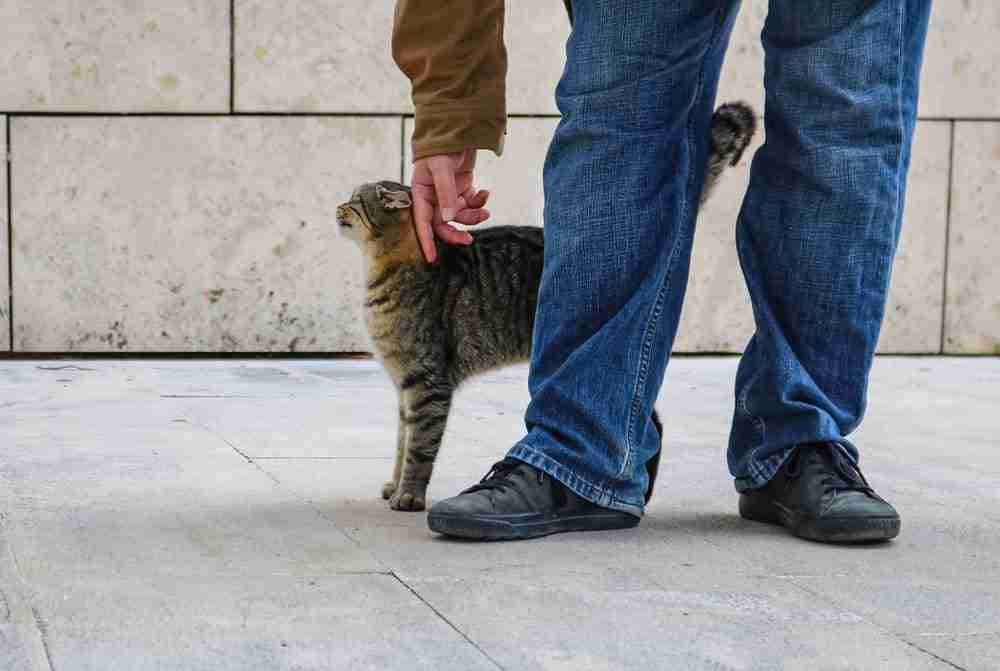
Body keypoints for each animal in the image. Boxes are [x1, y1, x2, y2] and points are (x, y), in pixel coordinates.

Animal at [340, 101, 752, 510]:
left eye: (356, 202)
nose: (337, 206)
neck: (386, 267)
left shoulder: (427, 384)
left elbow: (420, 448)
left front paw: (409, 494)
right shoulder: (406, 389)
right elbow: (401, 443)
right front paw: (394, 484)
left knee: (645, 425)